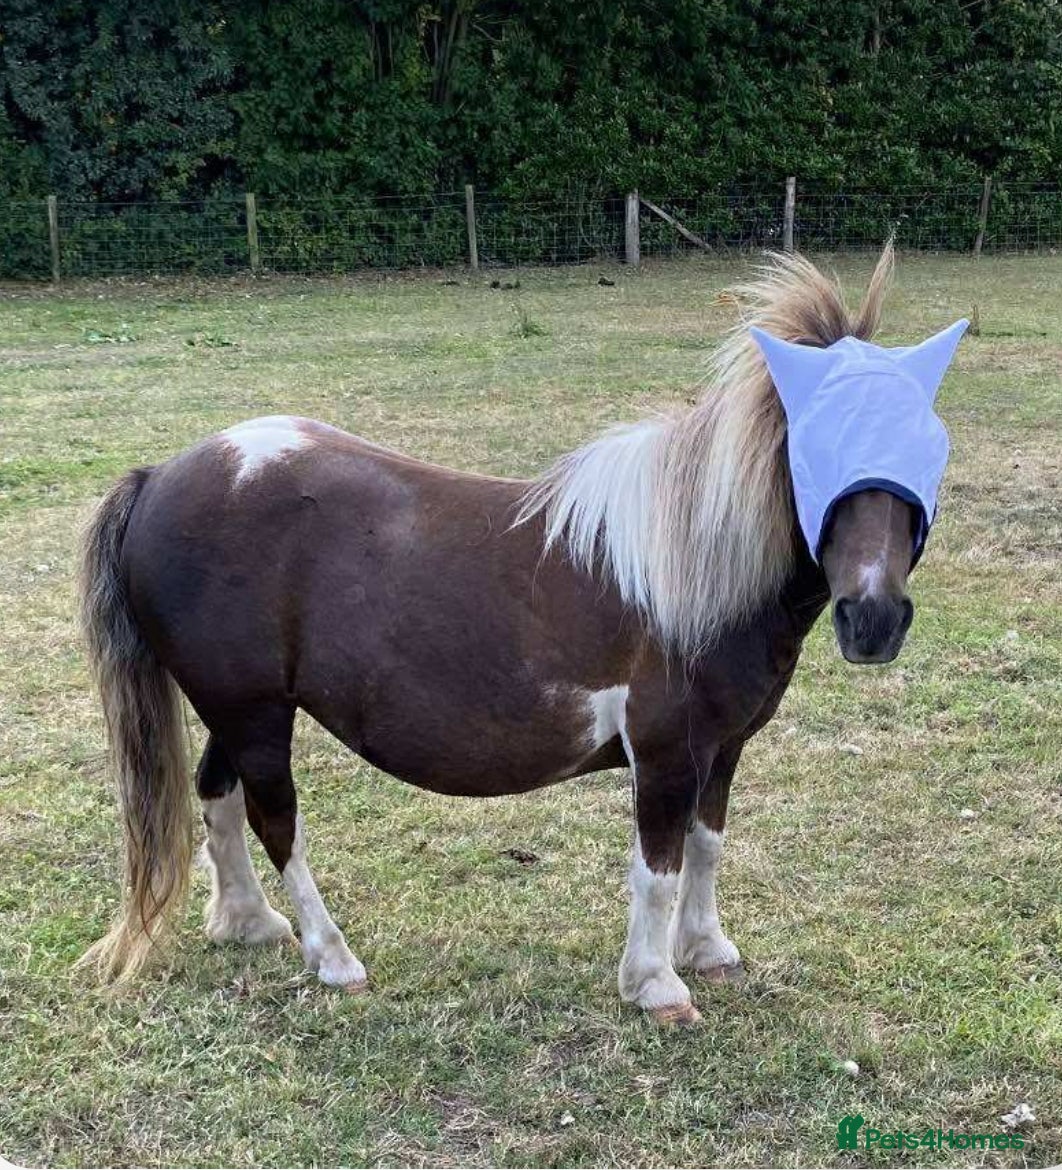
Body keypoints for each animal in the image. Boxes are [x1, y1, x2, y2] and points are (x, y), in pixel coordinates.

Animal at [77, 243, 959, 1025]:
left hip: (240, 707)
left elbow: (707, 847)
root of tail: (160, 477)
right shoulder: (665, 752)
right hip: (255, 712)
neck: (691, 566)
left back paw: (250, 925)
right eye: (812, 442)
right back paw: (332, 957)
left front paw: (708, 951)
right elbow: (658, 867)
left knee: (218, 796)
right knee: (276, 821)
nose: (873, 619)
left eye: (929, 442)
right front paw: (656, 985)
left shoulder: (724, 747)